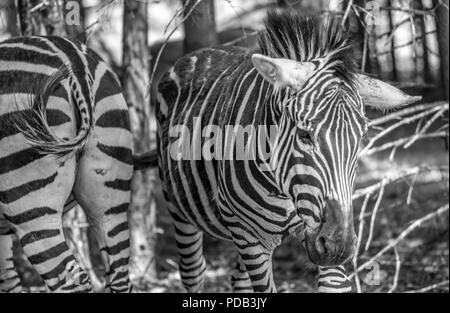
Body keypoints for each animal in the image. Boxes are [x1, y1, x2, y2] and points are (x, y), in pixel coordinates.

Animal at [0, 36, 134, 292]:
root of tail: (74, 60)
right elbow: (8, 280)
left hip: (32, 205)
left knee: (72, 281)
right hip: (109, 200)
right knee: (120, 278)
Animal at [155, 11, 422, 292]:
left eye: (361, 139)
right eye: (304, 134)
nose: (340, 246)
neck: (283, 191)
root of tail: (201, 52)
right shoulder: (251, 238)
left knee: (238, 280)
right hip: (179, 208)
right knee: (193, 271)